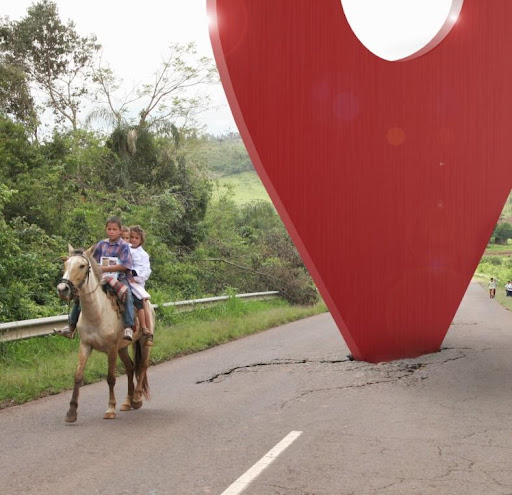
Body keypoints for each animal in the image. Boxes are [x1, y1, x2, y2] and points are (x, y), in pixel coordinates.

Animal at [56, 244, 155, 422]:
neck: (97, 313)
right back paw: (127, 402)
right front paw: (71, 412)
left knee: (142, 366)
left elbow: (110, 378)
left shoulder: (111, 349)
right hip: (123, 348)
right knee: (130, 367)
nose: (62, 289)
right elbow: (78, 376)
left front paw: (110, 409)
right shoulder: (85, 345)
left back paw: (137, 398)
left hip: (143, 344)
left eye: (82, 266)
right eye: (66, 264)